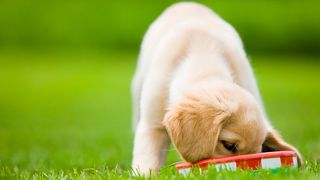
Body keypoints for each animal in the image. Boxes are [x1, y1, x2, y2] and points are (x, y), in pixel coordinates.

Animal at [131, 1, 302, 174]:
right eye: (229, 145)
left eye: (257, 152)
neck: (203, 59)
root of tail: (186, 4)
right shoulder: (152, 125)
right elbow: (148, 158)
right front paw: (144, 174)